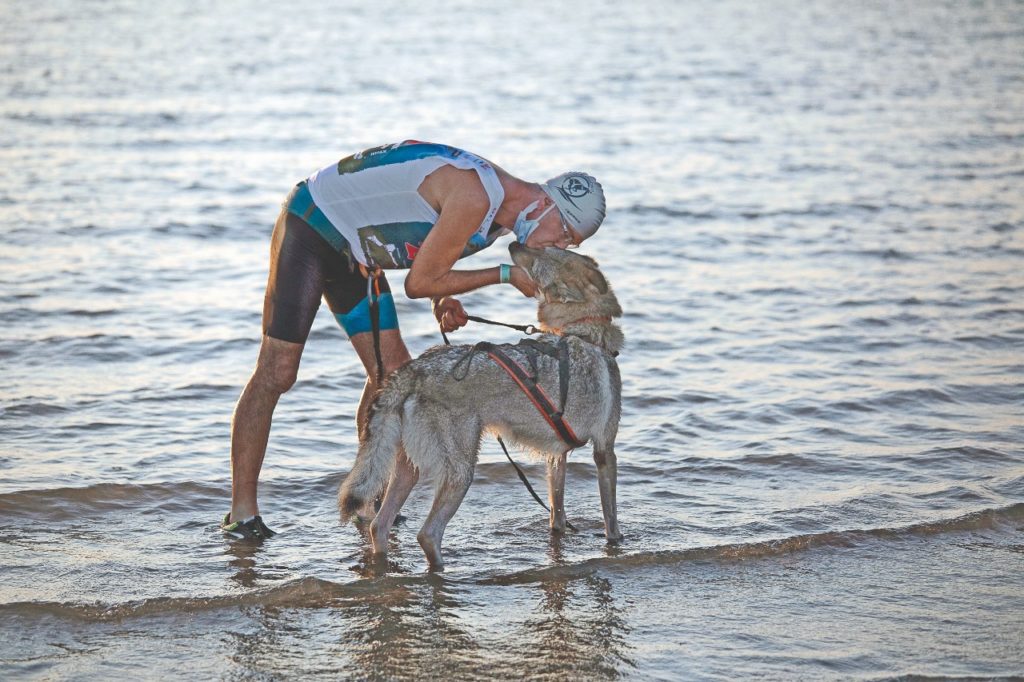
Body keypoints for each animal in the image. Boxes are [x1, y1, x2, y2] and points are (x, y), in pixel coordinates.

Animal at [339, 241, 622, 565]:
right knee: (427, 534)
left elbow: (557, 513)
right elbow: (610, 517)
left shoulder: (556, 457)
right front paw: (616, 543)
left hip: (407, 468)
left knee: (379, 525)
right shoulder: (605, 450)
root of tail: (414, 370)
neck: (585, 334)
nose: (513, 243)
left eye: (541, 251)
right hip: (461, 472)